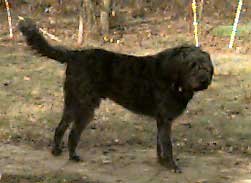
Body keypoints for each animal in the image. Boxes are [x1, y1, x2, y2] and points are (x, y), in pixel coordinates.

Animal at [18, 19, 214, 173]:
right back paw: (72, 156)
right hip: (85, 105)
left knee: (61, 126)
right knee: (73, 132)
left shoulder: (161, 120)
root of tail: (74, 55)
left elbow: (160, 144)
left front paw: (162, 163)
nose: (203, 80)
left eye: (206, 66)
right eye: (192, 65)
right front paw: (172, 166)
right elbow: (168, 145)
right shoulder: (165, 119)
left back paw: (57, 151)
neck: (172, 74)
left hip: (72, 101)